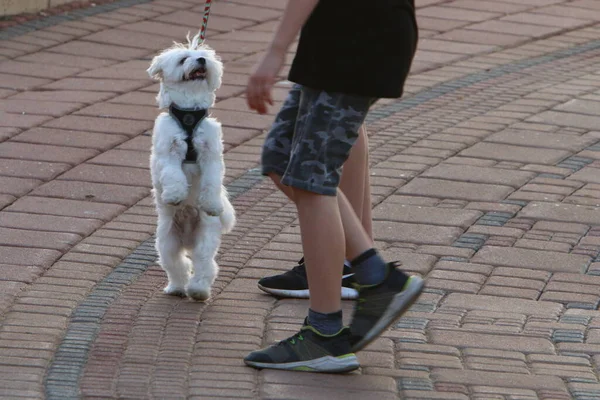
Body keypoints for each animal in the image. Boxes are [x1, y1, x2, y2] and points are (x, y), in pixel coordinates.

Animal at [146, 34, 236, 302]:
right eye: (183, 58)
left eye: (203, 56)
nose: (201, 60)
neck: (188, 112)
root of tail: (186, 239)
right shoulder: (168, 152)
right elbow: (173, 174)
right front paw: (176, 195)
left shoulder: (211, 155)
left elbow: (212, 181)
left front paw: (213, 204)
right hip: (167, 243)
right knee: (178, 265)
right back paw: (177, 288)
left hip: (205, 238)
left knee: (205, 265)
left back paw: (198, 290)